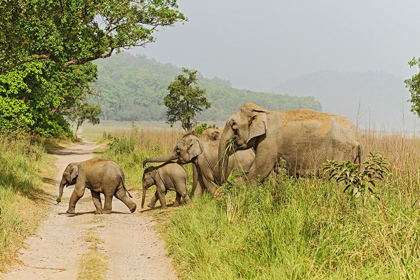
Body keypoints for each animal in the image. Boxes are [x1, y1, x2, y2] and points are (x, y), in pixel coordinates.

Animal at [217, 101, 360, 183]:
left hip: (340, 154)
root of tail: (357, 137)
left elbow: (259, 171)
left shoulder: (268, 142)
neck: (265, 113)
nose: (225, 182)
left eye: (233, 124)